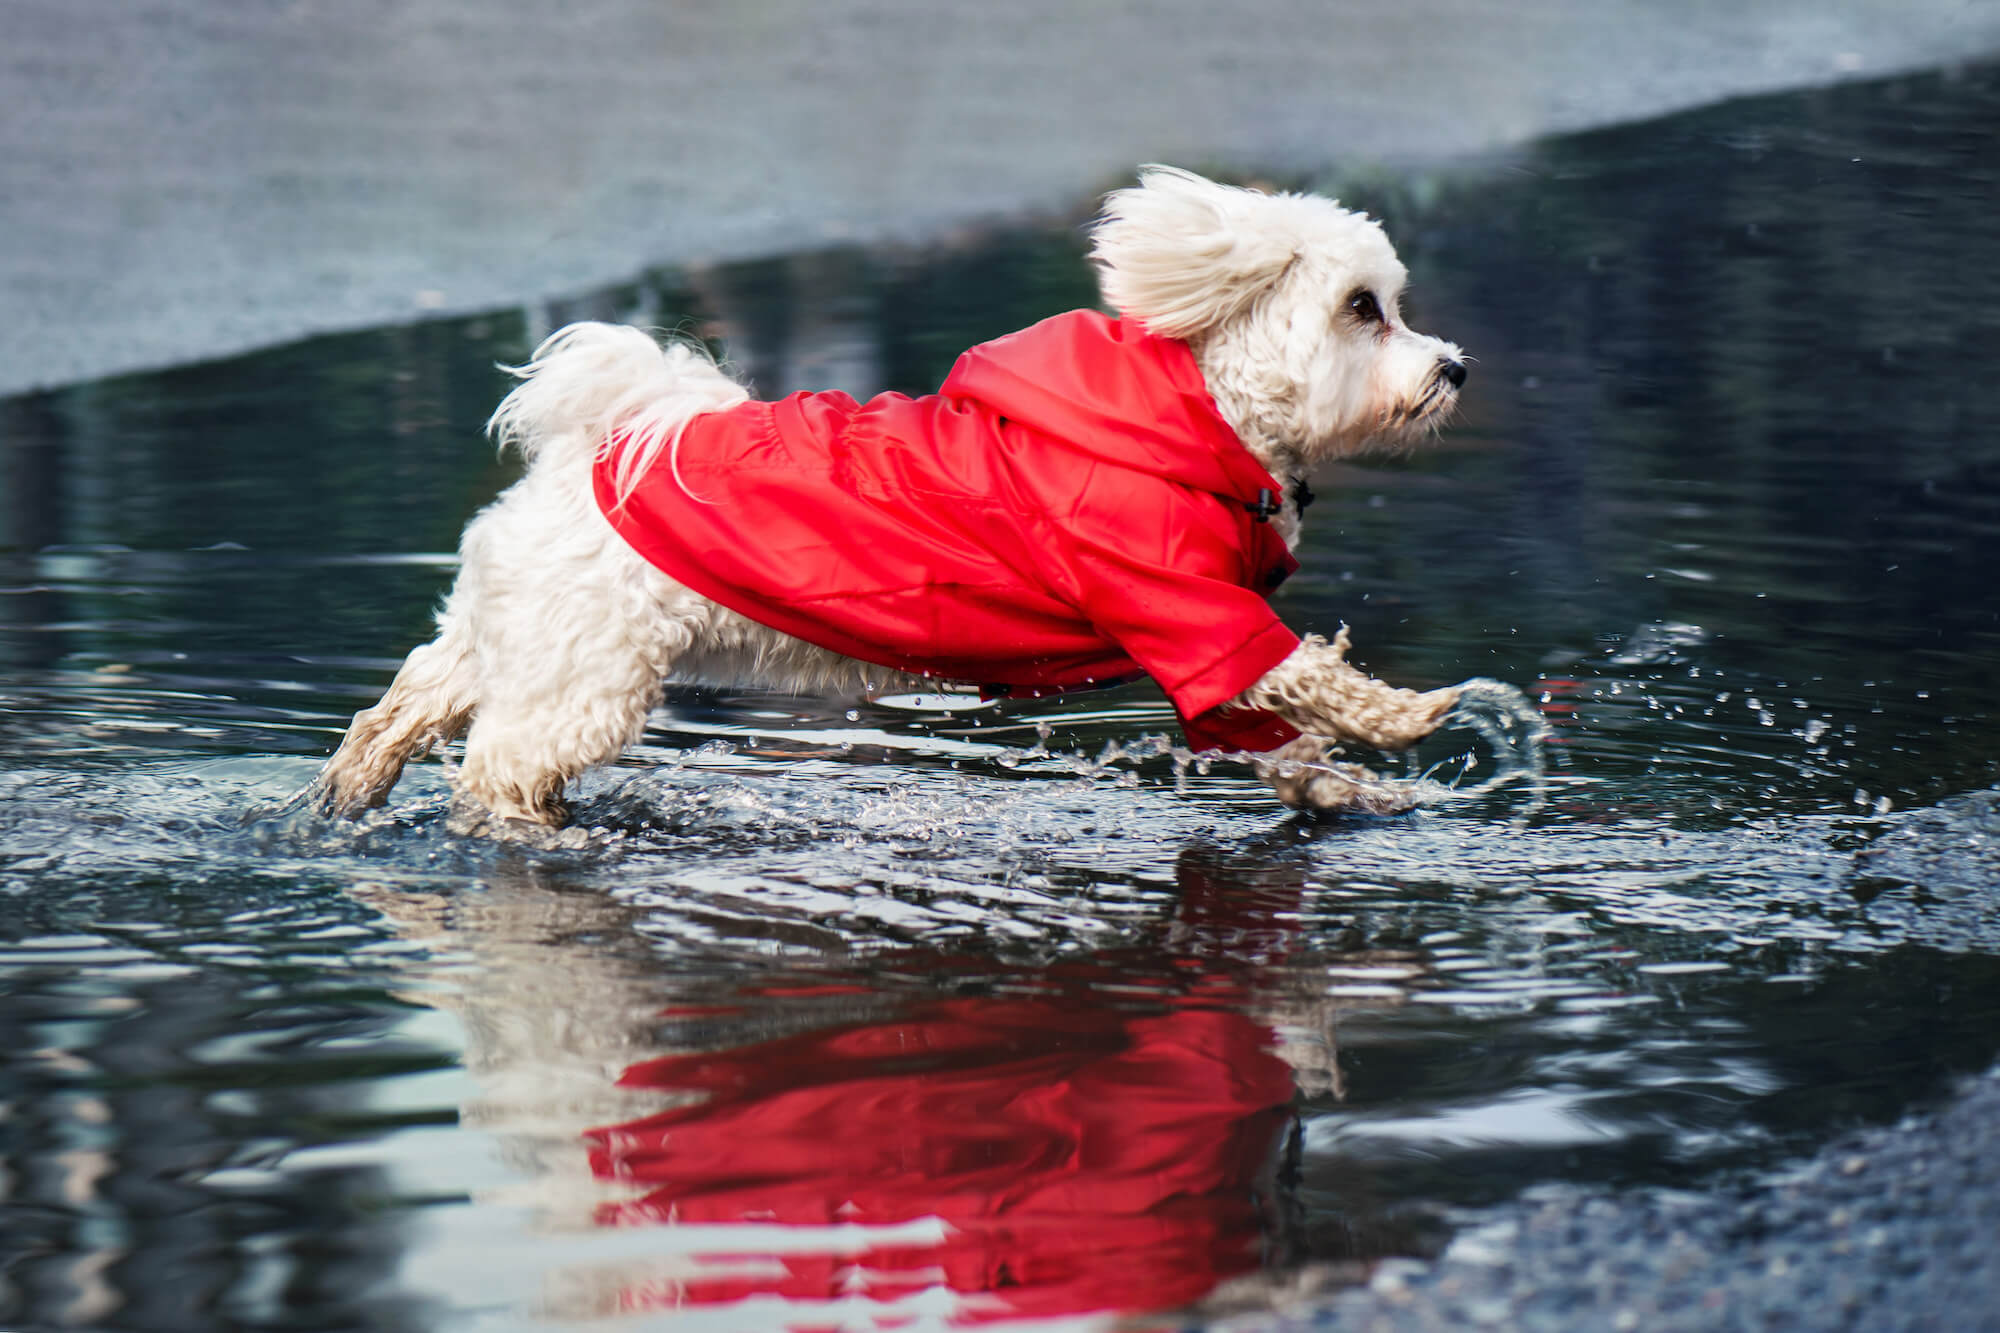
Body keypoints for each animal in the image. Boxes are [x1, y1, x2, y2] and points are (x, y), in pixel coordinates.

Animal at [312, 166, 1472, 824]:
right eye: (1362, 309)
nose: (1454, 367)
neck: (1202, 414)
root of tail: (600, 445)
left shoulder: (1205, 650)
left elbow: (1281, 731)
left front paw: (1346, 793)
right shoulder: (1183, 610)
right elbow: (1308, 679)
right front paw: (1410, 715)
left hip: (516, 634)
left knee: (410, 696)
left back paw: (347, 790)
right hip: (580, 678)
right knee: (499, 770)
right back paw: (507, 828)